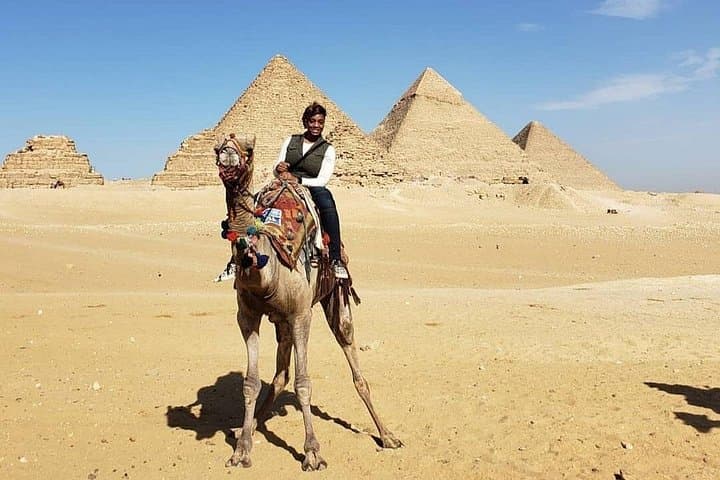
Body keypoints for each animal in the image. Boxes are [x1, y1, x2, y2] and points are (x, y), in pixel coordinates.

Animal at [214, 133, 402, 471]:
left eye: (248, 149)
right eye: (217, 147)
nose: (227, 155)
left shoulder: (302, 314)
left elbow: (304, 383)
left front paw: (313, 453)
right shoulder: (247, 316)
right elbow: (250, 383)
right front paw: (241, 449)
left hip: (334, 299)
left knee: (354, 364)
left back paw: (387, 435)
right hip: (282, 322)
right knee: (280, 376)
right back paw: (253, 426)